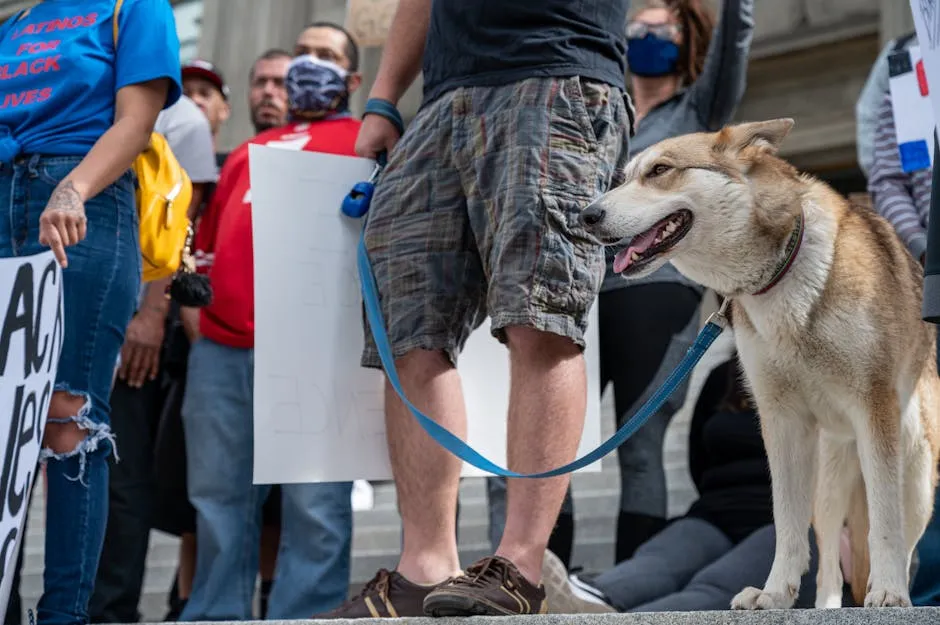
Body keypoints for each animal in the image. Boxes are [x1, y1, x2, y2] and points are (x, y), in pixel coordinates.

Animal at [580, 118, 940, 608]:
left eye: (659, 171)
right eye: (623, 179)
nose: (585, 216)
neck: (782, 272)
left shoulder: (874, 410)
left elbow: (885, 525)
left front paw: (887, 593)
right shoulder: (781, 420)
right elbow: (785, 523)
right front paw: (774, 594)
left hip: (916, 470)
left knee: (902, 541)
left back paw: (893, 589)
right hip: (827, 482)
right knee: (829, 560)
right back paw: (825, 607)